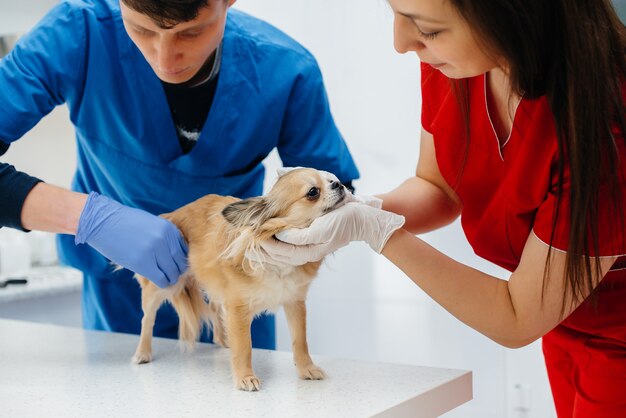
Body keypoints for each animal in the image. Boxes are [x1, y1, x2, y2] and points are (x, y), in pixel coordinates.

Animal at [132, 168, 348, 390]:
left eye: (332, 179)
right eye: (313, 192)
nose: (339, 184)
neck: (279, 266)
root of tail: (171, 215)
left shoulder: (294, 302)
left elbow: (300, 340)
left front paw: (306, 368)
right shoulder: (238, 308)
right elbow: (245, 346)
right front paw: (245, 376)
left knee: (215, 309)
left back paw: (224, 339)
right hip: (163, 283)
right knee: (147, 319)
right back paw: (143, 352)